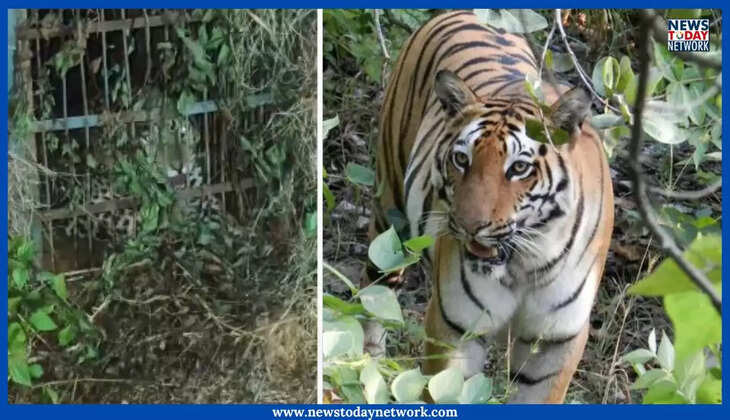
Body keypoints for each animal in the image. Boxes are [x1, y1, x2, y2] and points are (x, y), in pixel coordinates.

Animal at [362, 10, 614, 403]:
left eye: (519, 168)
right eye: (461, 160)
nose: (468, 226)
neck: (528, 262)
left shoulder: (556, 341)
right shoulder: (454, 326)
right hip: (389, 218)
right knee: (373, 294)